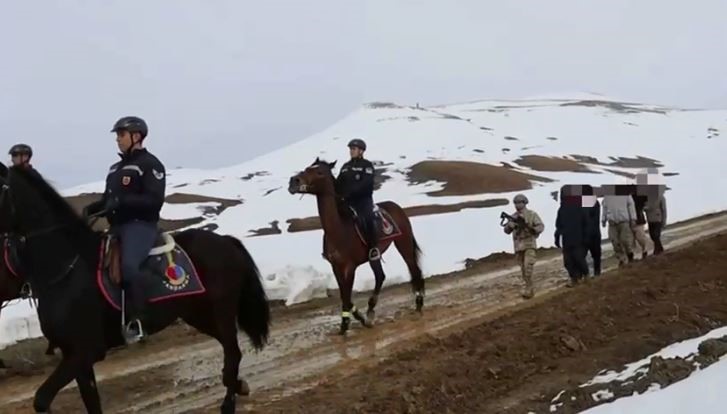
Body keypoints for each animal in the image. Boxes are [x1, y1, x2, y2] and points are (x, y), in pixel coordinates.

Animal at [0, 163, 272, 414]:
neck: (67, 267)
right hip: (200, 315)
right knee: (230, 353)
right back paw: (239, 386)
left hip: (221, 311)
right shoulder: (76, 357)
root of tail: (225, 241)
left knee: (233, 353)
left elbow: (41, 399)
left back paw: (229, 402)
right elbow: (91, 403)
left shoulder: (85, 352)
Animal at [288, 157, 424, 334]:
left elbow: (346, 294)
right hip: (378, 254)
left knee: (412, 269)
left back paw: (418, 303)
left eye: (319, 172)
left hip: (403, 243)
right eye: (306, 168)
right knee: (380, 276)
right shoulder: (336, 267)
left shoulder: (350, 267)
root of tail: (396, 207)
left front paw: (347, 323)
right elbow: (344, 295)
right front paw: (357, 317)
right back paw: (371, 311)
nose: (294, 181)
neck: (338, 230)